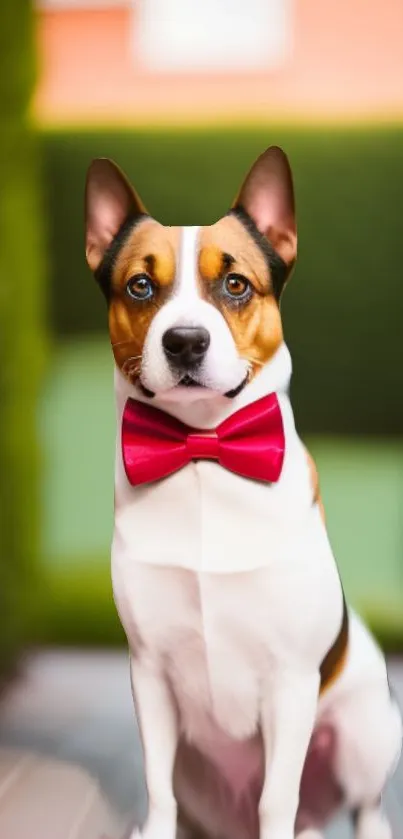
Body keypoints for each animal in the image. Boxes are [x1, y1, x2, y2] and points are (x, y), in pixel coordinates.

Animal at [83, 148, 402, 839]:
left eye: (235, 285)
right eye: (140, 287)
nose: (184, 342)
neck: (204, 448)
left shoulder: (290, 682)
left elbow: (276, 798)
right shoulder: (149, 672)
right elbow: (156, 790)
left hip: (366, 732)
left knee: (365, 806)